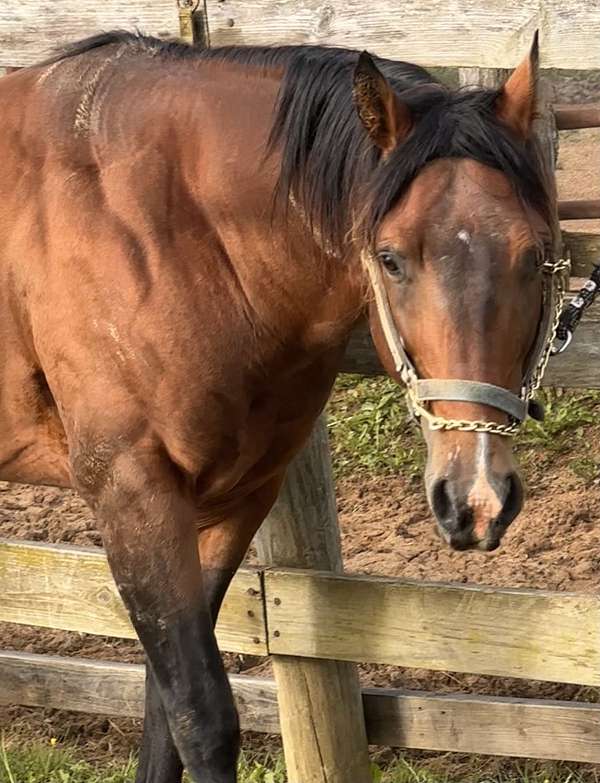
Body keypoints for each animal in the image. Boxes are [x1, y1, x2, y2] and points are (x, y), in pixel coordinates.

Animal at [0, 31, 558, 782]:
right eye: (390, 258)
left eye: (535, 255)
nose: (474, 496)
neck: (158, 224)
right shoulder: (133, 496)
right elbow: (200, 717)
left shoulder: (233, 500)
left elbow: (162, 713)